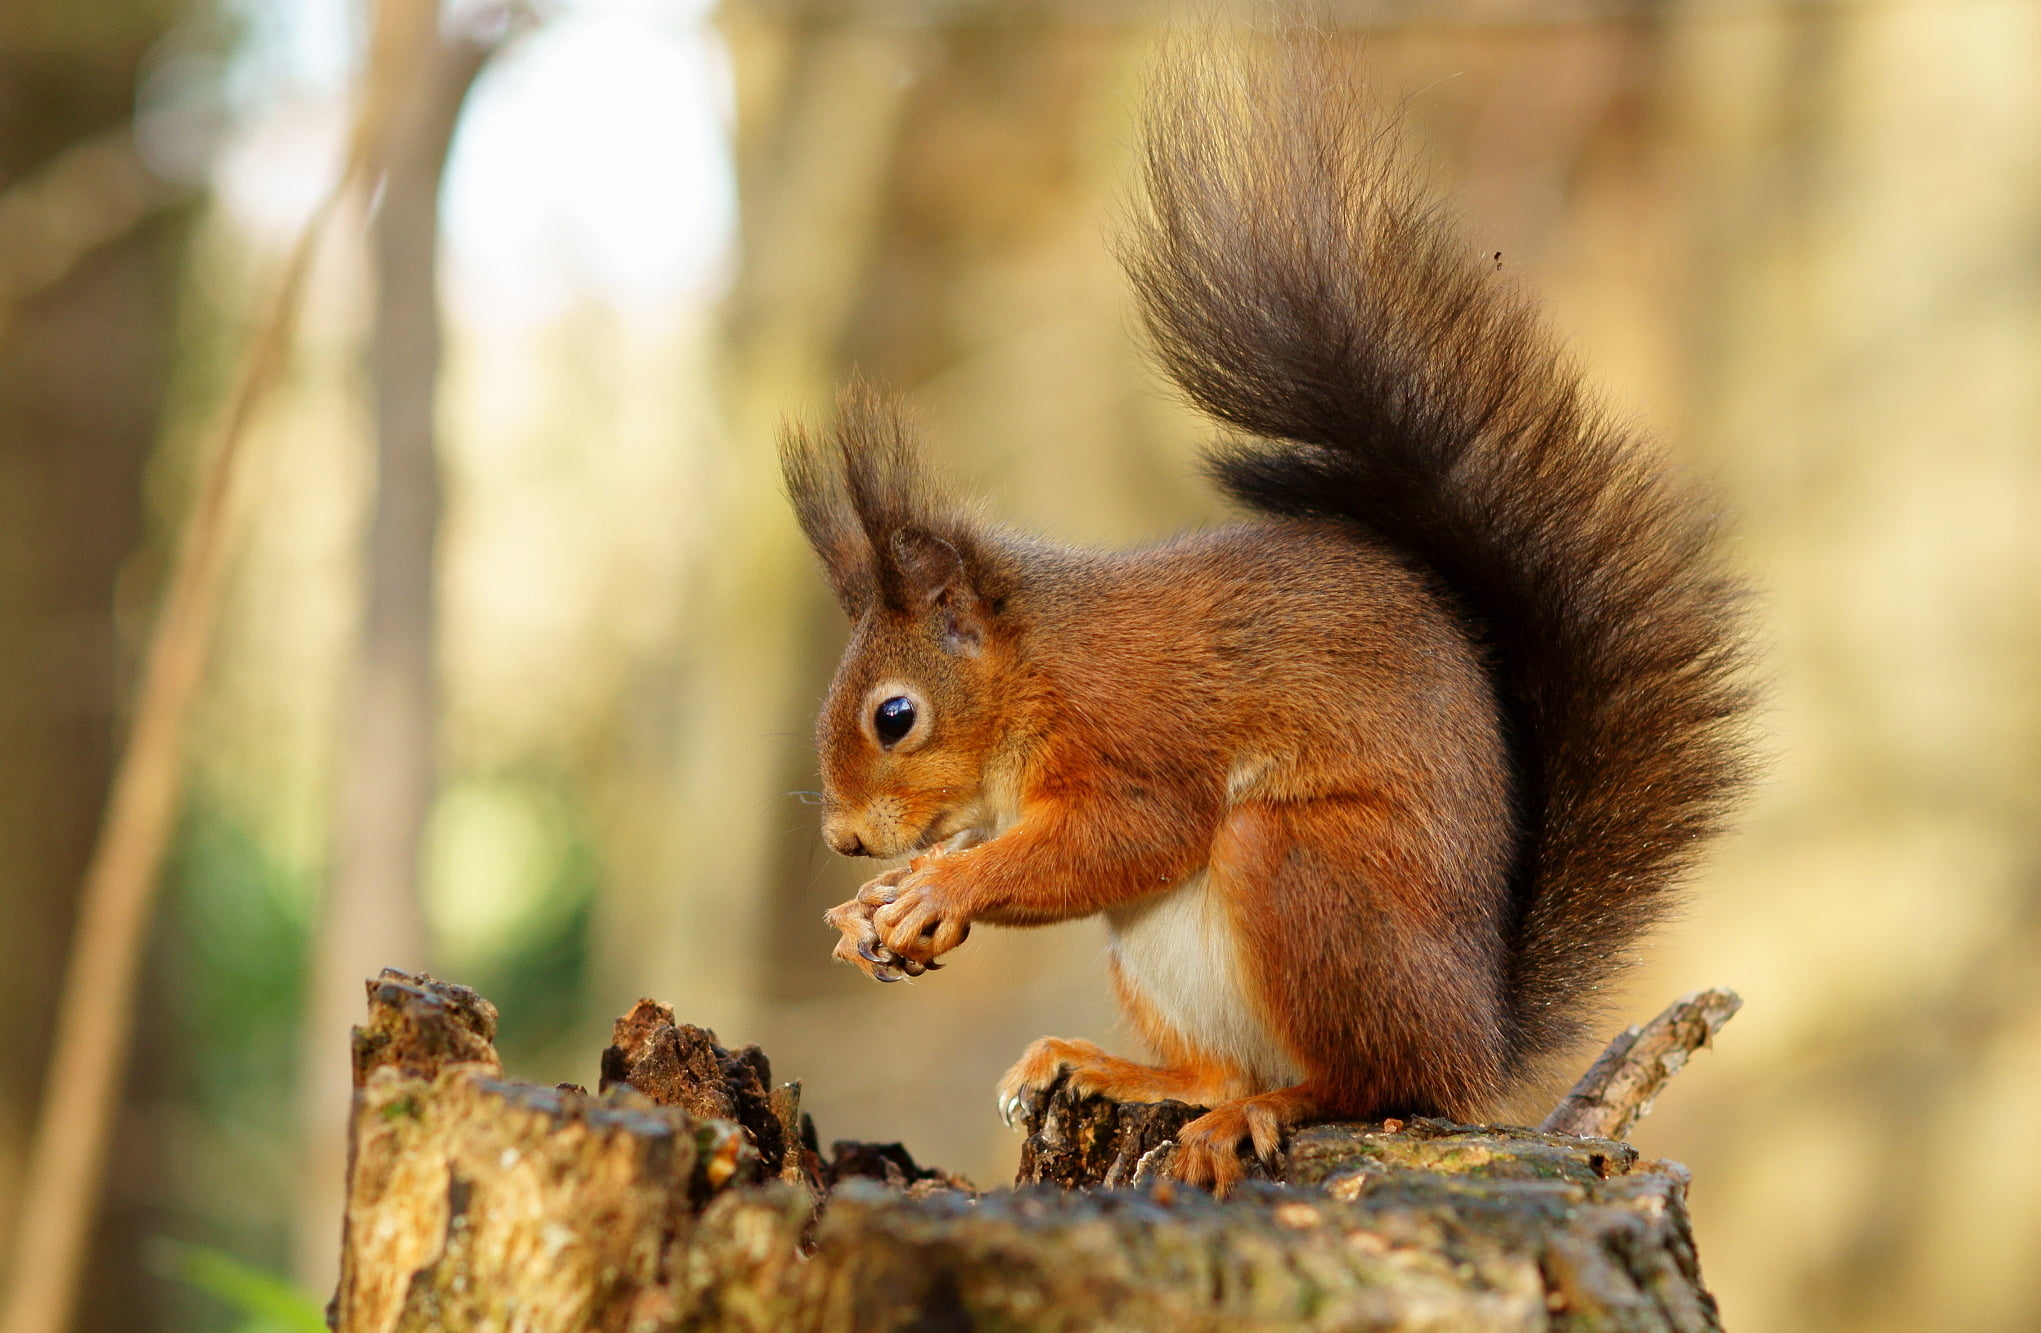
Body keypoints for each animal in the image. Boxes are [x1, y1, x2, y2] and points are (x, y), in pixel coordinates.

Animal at [779, 39, 1755, 1183]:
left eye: (895, 716)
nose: (845, 839)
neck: (1037, 665)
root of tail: (1479, 1043)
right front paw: (874, 907)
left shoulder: (1133, 731)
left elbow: (1128, 836)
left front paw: (941, 888)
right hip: (1160, 963)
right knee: (1218, 1069)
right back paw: (1116, 1069)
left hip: (1301, 878)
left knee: (1363, 1080)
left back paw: (1268, 1110)